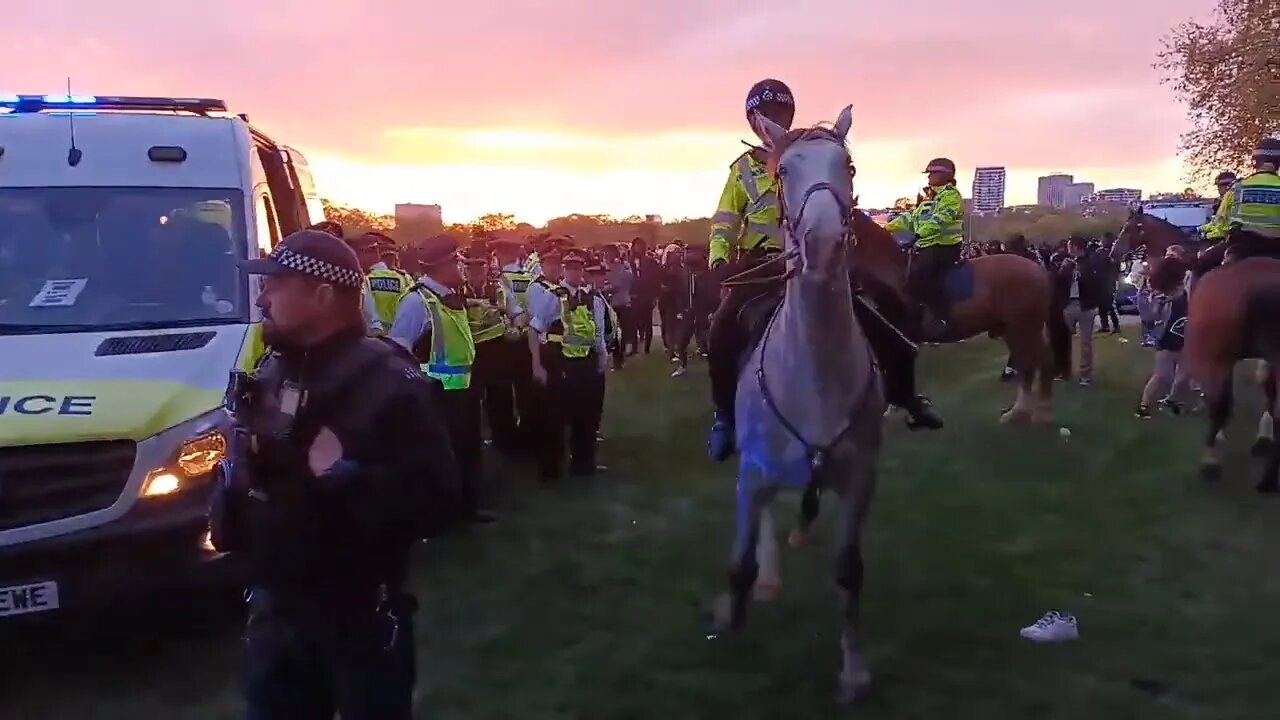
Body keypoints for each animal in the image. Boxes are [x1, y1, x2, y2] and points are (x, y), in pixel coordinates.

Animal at [706, 106, 885, 702]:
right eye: (784, 172)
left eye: (847, 166)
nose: (824, 243)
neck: (815, 378)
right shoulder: (752, 473)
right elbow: (738, 561)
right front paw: (734, 621)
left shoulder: (860, 479)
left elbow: (850, 572)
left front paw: (853, 672)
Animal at [849, 212, 1059, 422]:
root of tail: (1038, 269)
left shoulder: (891, 340)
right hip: (1017, 331)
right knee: (1034, 364)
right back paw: (1023, 412)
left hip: (1023, 329)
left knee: (1036, 363)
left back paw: (1035, 413)